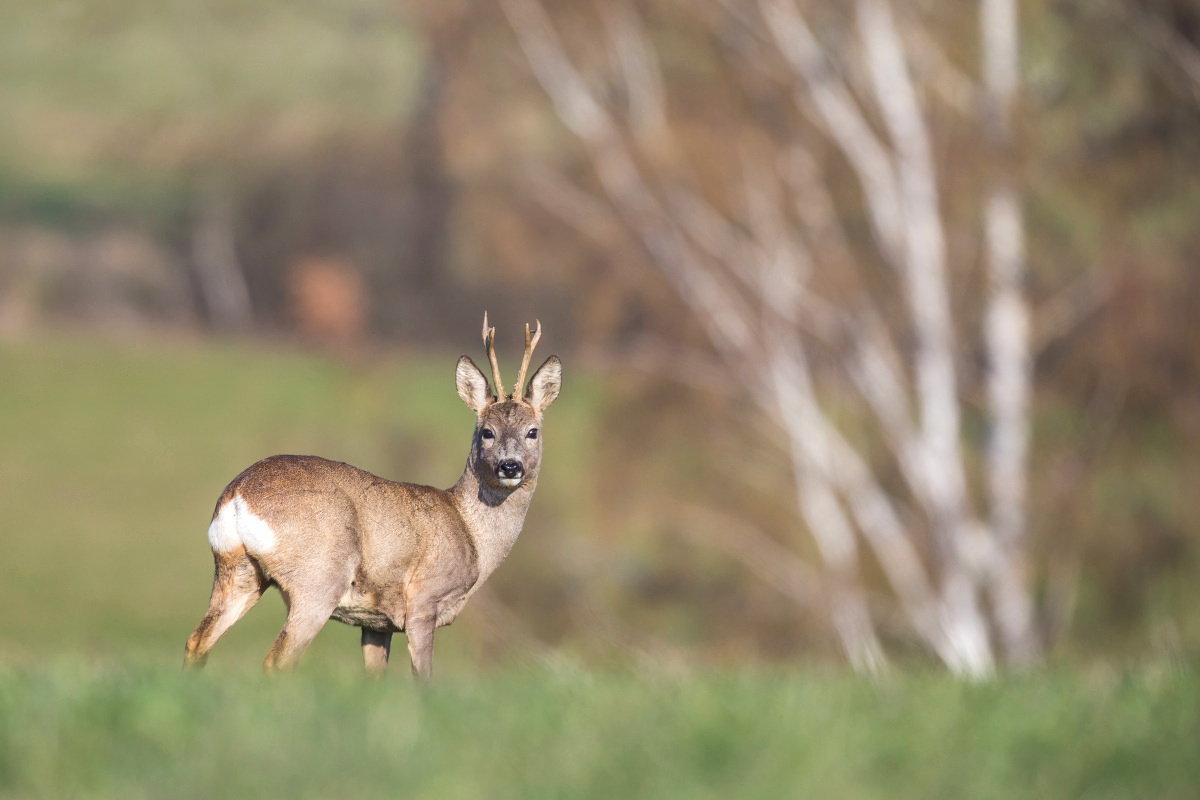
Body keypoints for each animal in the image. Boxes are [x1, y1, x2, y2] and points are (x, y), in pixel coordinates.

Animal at [181, 316, 561, 681]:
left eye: (532, 431)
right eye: (487, 432)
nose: (509, 466)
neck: (471, 534)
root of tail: (237, 495)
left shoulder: (377, 623)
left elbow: (374, 678)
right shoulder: (424, 599)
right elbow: (424, 678)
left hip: (238, 571)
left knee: (196, 643)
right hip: (319, 577)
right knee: (278, 660)